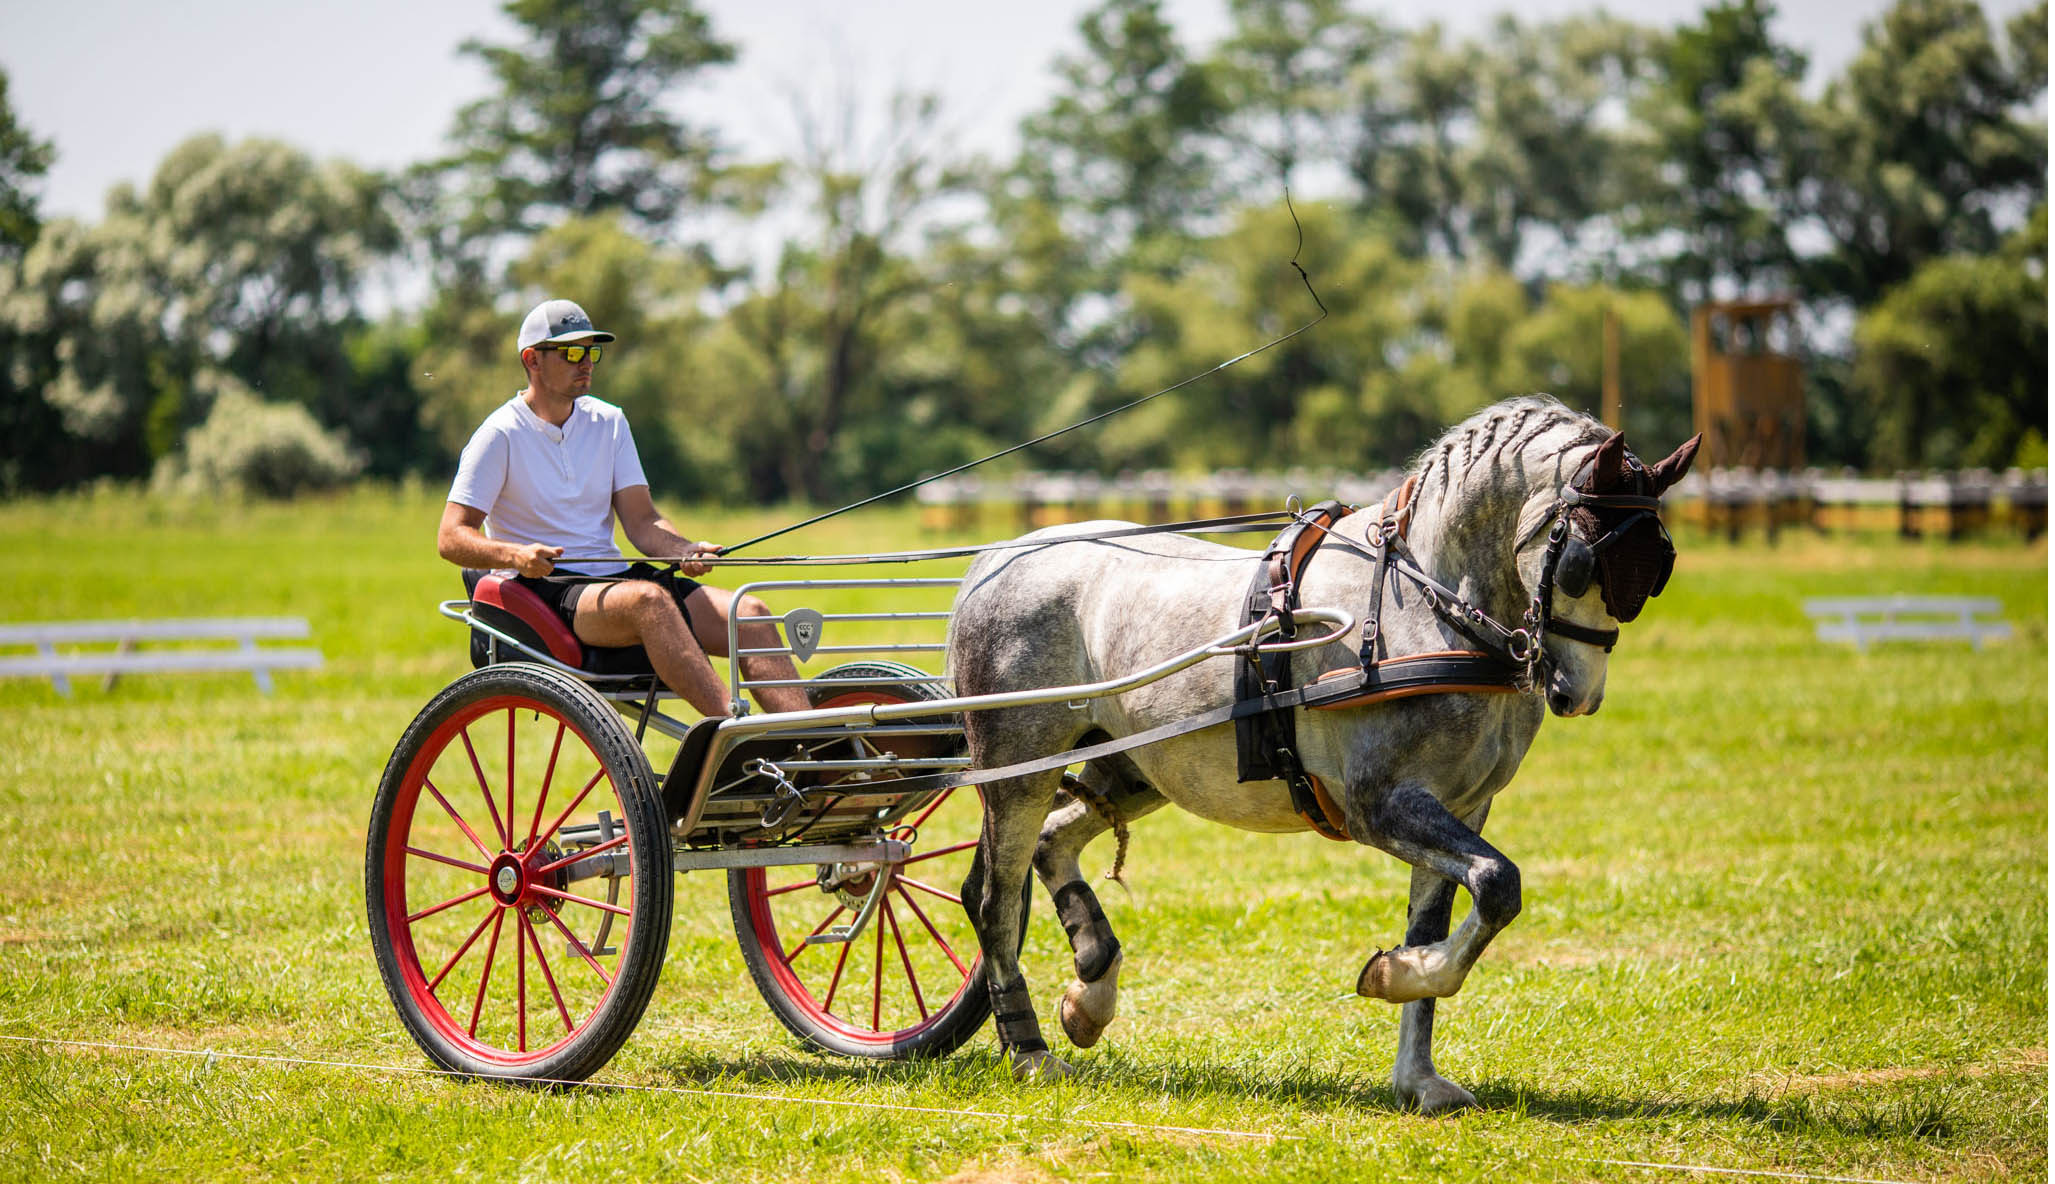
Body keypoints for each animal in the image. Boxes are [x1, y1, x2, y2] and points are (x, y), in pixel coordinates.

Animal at [945, 398, 1701, 1110]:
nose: (1579, 693)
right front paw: (1395, 973)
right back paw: (1030, 1051)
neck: (1423, 606)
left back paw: (1091, 991)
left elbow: (1441, 920)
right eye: (1578, 561)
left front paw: (1417, 1071)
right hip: (1020, 765)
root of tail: (994, 562)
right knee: (992, 896)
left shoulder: (1463, 807)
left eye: (1657, 568)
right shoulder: (1379, 805)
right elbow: (1496, 884)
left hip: (1137, 767)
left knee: (1051, 842)